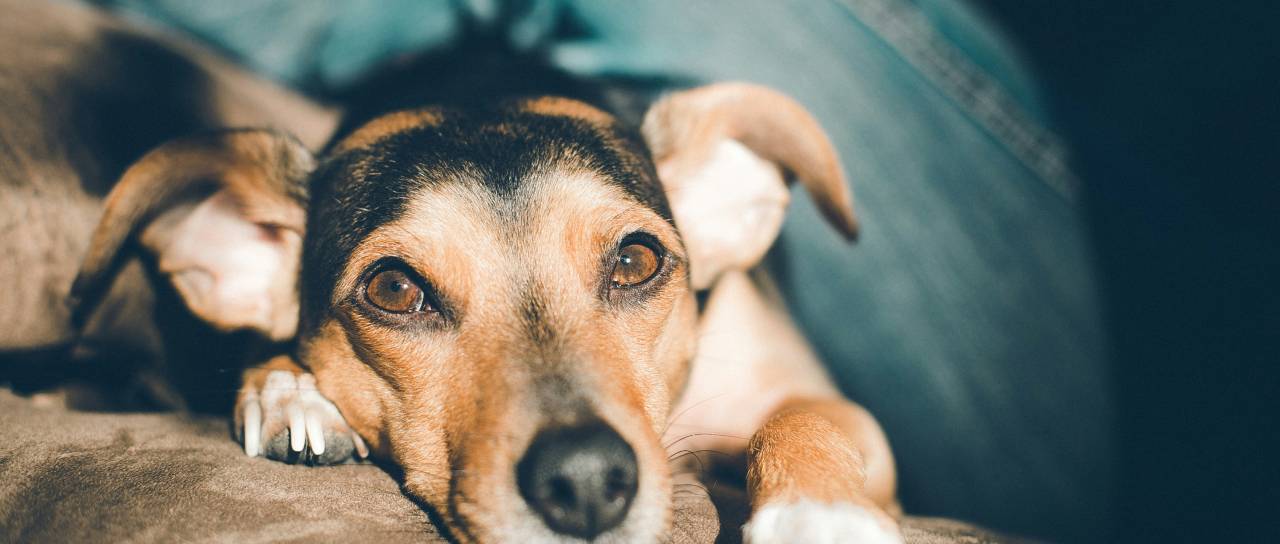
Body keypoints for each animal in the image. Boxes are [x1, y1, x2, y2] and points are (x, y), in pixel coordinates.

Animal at [3, 2, 900, 542]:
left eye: (637, 260)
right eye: (395, 290)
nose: (587, 482)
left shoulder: (810, 397)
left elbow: (809, 417)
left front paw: (823, 517)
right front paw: (290, 392)